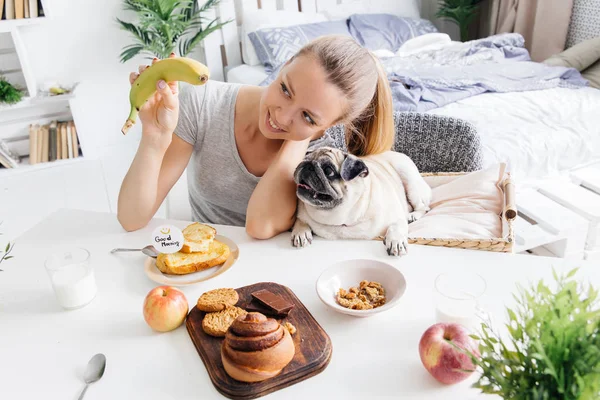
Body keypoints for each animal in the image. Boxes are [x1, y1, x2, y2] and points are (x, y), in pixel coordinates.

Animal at [290, 147, 432, 256]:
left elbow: (396, 226)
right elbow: (300, 220)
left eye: (328, 170)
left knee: (424, 207)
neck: (339, 218)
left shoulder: (397, 216)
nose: (308, 165)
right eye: (303, 160)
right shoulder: (302, 214)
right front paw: (301, 233)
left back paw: (412, 216)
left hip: (410, 180)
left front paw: (396, 241)